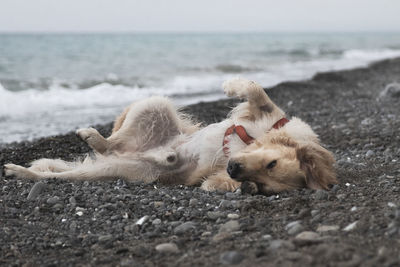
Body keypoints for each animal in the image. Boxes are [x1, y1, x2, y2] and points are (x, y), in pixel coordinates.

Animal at [3, 77, 338, 195]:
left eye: (264, 182)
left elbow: (212, 183)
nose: (233, 169)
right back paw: (92, 136)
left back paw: (21, 171)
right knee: (113, 139)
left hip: (118, 170)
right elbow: (257, 91)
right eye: (271, 164)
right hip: (155, 106)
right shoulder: (270, 116)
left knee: (63, 174)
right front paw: (231, 84)